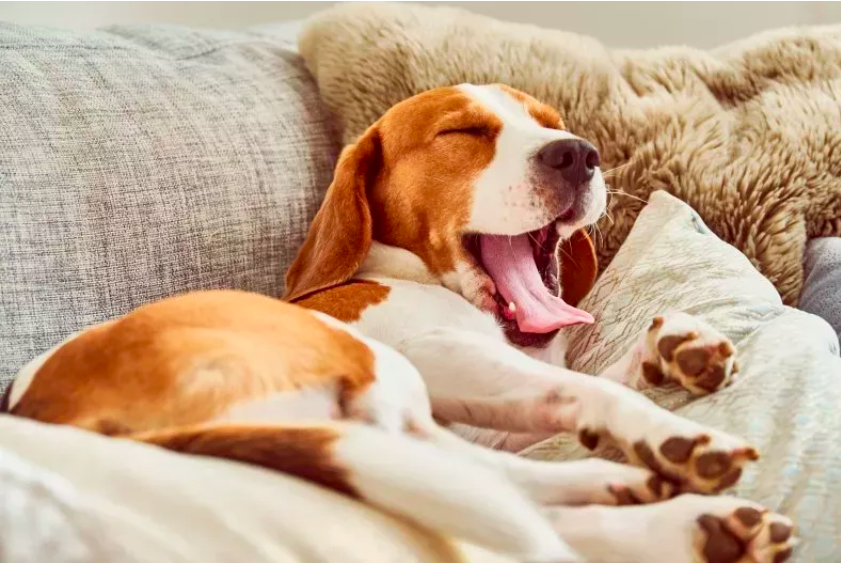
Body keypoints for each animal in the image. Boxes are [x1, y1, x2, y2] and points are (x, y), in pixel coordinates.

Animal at [3, 83, 796, 563]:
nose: (577, 153)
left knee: (510, 493)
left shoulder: (481, 410)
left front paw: (672, 348)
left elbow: (579, 385)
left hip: (407, 428)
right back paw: (667, 497)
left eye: (550, 125)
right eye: (464, 131)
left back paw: (661, 509)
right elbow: (584, 388)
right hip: (381, 376)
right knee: (514, 507)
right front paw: (665, 429)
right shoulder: (435, 352)